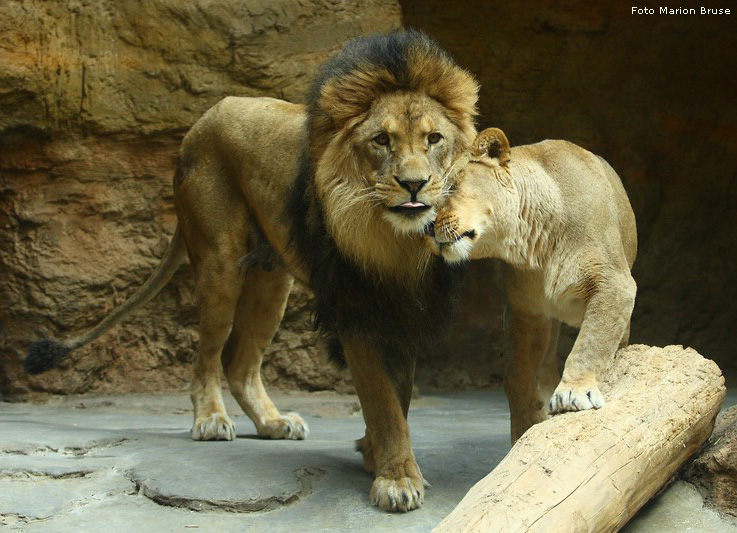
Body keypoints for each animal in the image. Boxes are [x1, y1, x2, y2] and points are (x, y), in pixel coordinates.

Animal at [24, 32, 478, 512]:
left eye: (433, 139)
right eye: (380, 140)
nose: (414, 184)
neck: (396, 242)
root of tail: (201, 120)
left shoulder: (406, 307)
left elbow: (400, 397)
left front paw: (375, 456)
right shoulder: (354, 307)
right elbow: (383, 402)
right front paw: (396, 478)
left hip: (272, 281)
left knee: (240, 362)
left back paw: (274, 423)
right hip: (219, 263)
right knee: (207, 356)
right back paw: (209, 420)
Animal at [428, 127, 636, 438]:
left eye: (452, 187)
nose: (428, 227)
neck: (539, 239)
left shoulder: (615, 284)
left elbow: (590, 343)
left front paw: (574, 392)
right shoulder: (526, 310)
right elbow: (519, 372)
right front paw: (526, 420)